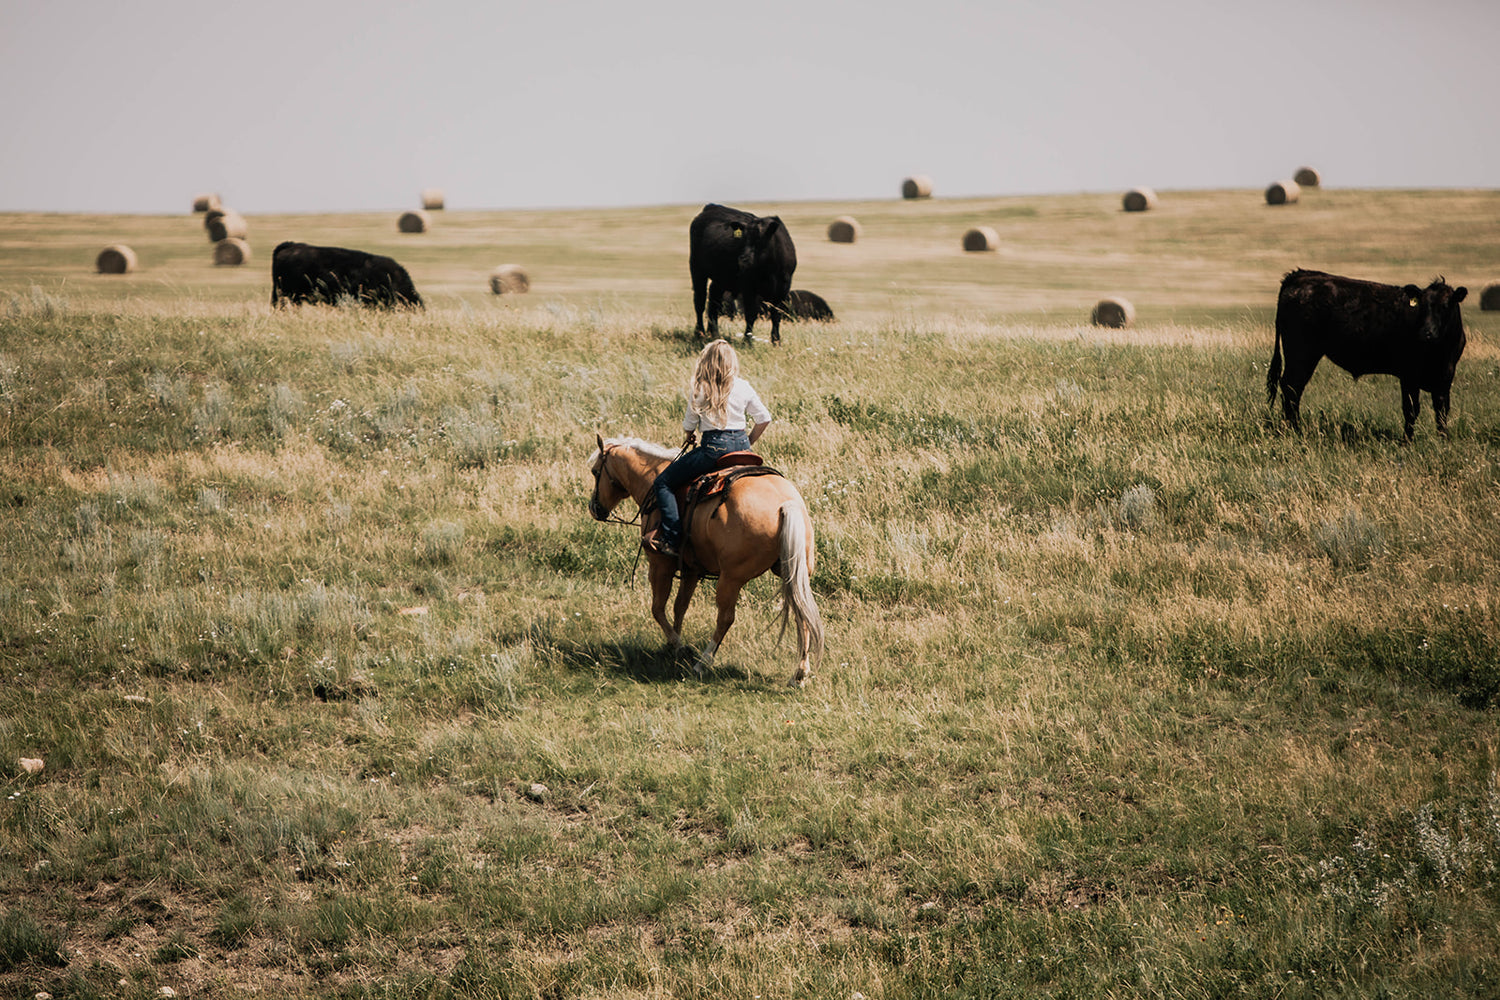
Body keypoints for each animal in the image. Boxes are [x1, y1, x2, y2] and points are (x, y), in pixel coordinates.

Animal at [689, 204, 796, 344]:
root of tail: (712, 207)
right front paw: (748, 340)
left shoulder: (783, 288)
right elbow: (751, 314)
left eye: (760, 240)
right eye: (743, 239)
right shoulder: (748, 287)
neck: (770, 270)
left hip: (721, 278)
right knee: (699, 301)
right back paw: (699, 333)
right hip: (697, 269)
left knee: (714, 300)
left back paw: (714, 333)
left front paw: (776, 341)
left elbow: (776, 315)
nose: (743, 259)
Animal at [1267, 269, 1467, 440]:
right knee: (1291, 387)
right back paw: (1294, 429)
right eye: (1422, 307)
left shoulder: (1445, 377)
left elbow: (1441, 409)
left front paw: (1443, 439)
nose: (1427, 333)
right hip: (1301, 354)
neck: (1439, 353)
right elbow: (1411, 409)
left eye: (1445, 306)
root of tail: (1301, 275)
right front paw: (1407, 441)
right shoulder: (1409, 375)